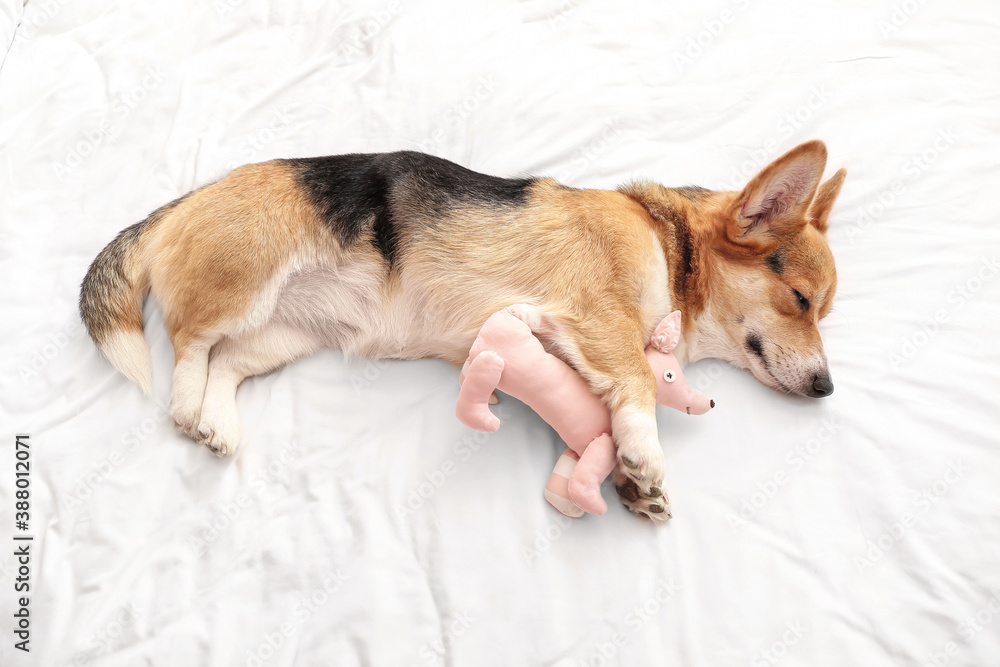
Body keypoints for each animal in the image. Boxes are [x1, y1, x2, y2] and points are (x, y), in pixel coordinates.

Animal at [80, 138, 844, 520]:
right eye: (800, 299)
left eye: (822, 310)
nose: (827, 388)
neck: (668, 242)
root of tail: (182, 204)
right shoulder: (598, 313)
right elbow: (636, 381)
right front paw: (644, 456)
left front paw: (627, 482)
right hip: (245, 282)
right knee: (190, 342)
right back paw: (186, 405)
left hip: (288, 331)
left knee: (228, 362)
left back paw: (217, 423)